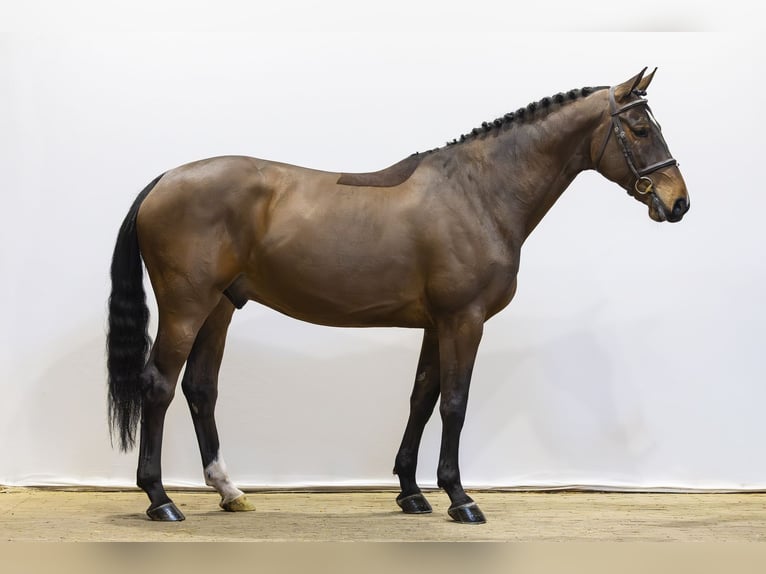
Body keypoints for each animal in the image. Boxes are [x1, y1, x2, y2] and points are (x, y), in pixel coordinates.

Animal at [107, 68, 689, 524]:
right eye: (640, 128)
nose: (679, 201)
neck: (478, 192)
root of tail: (164, 181)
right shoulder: (464, 320)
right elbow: (454, 402)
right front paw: (460, 497)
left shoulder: (437, 323)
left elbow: (422, 397)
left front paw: (410, 492)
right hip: (186, 308)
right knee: (158, 385)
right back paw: (160, 499)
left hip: (220, 307)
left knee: (201, 388)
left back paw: (229, 491)